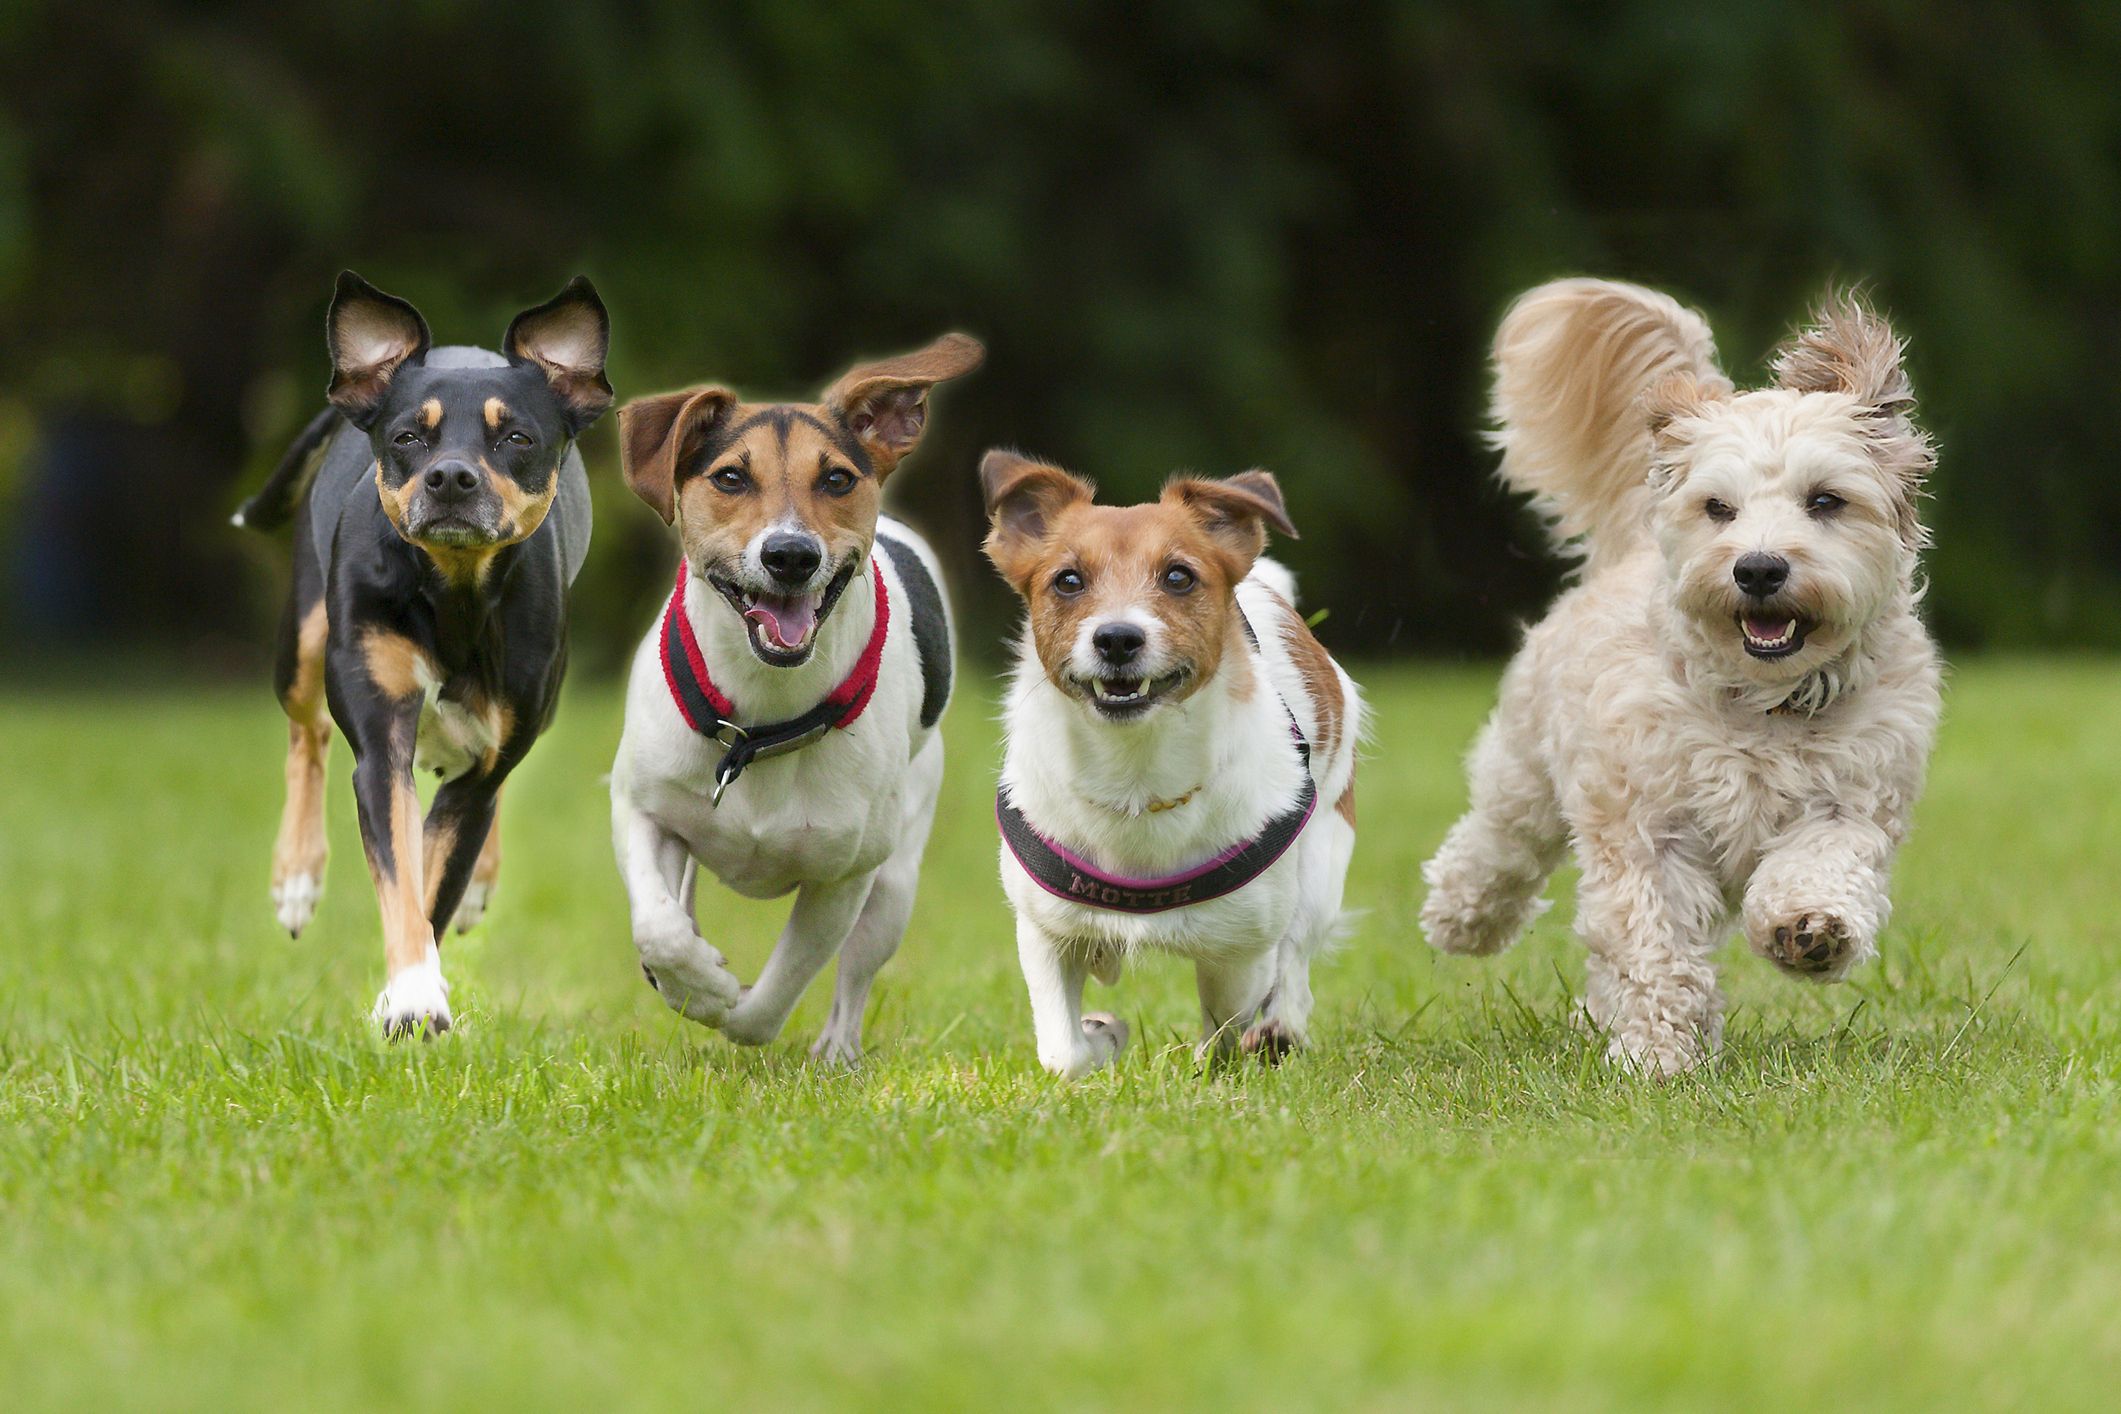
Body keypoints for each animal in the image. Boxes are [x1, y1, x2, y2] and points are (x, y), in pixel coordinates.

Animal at [238, 268, 615, 1038]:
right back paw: (296, 876)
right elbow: (402, 877)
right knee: (306, 734)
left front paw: (412, 991)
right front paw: (412, 994)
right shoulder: (381, 741)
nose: (450, 477)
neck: (454, 595)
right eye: (409, 436)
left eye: (517, 438)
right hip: (304, 641)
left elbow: (437, 880)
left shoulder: (483, 767)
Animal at [610, 334, 979, 1059]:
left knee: (856, 972)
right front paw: (696, 979)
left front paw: (725, 1002)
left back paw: (837, 1050)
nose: (790, 554)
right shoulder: (641, 807)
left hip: (895, 878)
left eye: (836, 479)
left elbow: (771, 998)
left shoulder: (843, 876)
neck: (759, 722)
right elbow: (658, 927)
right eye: (730, 478)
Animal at [975, 460, 1357, 1076]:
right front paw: (1101, 1037)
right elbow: (1063, 1053)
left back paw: (1280, 1027)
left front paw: (1213, 1057)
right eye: (1068, 581)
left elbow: (1225, 1025)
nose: (1116, 637)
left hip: (1322, 860)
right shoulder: (1044, 931)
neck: (1135, 774)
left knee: (1295, 958)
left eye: (1179, 577)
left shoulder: (1239, 950)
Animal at [1416, 275, 1942, 1072]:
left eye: (1825, 500)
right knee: (1498, 841)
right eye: (1717, 508)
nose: (1758, 567)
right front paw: (1657, 1054)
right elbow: (1652, 944)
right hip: (1527, 769)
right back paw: (1462, 915)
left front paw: (1808, 928)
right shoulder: (1646, 829)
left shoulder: (1853, 800)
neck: (1761, 707)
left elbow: (1820, 863)